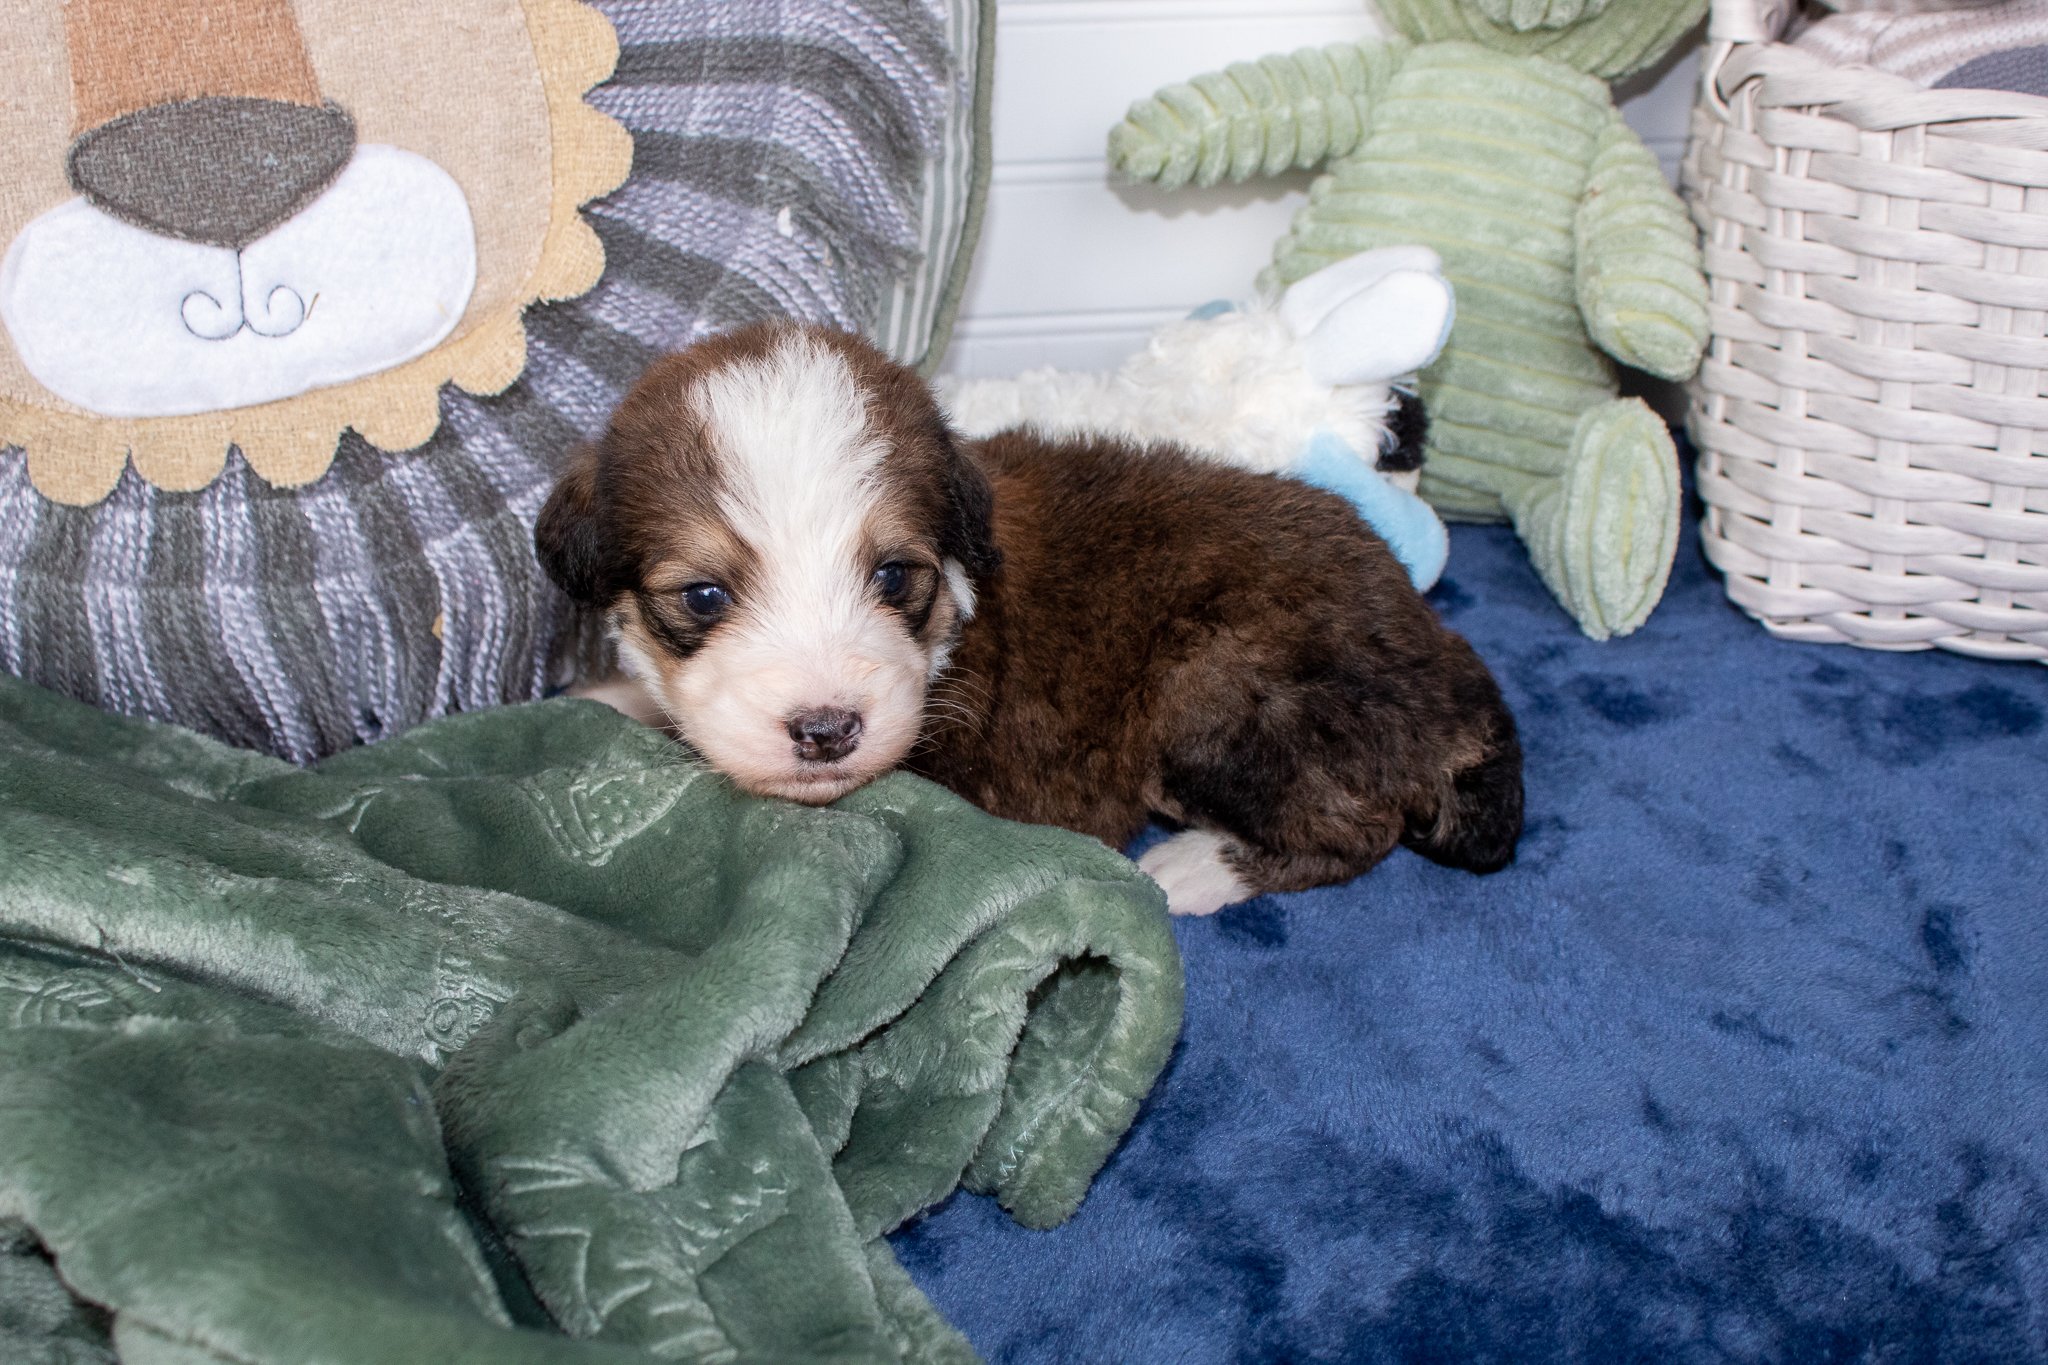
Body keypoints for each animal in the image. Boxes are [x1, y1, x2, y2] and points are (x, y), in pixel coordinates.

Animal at [532, 323, 1523, 916]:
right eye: (703, 597)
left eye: (894, 575)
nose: (826, 730)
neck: (952, 624)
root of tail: (1452, 664)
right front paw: (610, 692)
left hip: (1222, 687)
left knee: (1354, 829)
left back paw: (1195, 868)